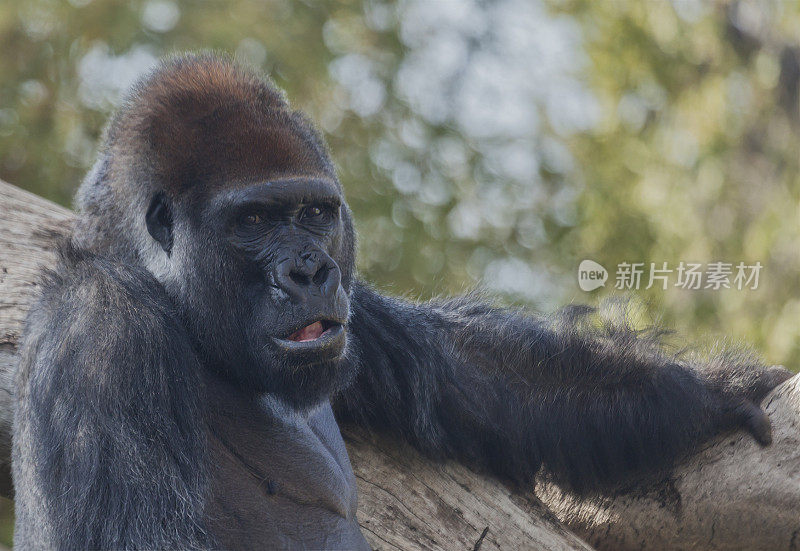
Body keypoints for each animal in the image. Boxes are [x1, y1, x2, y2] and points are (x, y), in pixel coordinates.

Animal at [10, 52, 788, 551]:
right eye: (254, 221)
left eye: (315, 213)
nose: (310, 271)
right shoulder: (103, 340)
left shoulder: (352, 316)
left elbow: (458, 374)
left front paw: (712, 393)